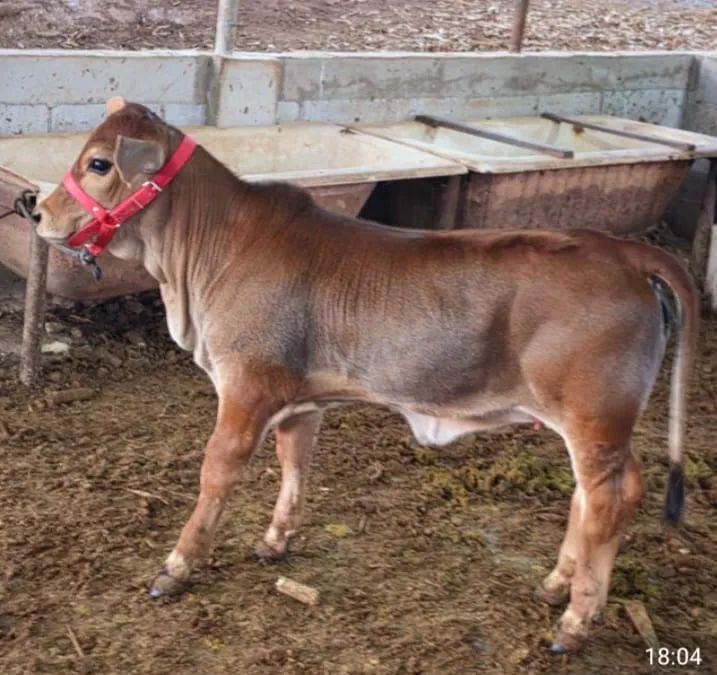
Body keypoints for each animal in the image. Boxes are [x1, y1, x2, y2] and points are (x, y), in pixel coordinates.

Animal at [33, 97, 698, 653]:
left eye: (98, 163)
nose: (34, 209)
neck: (199, 262)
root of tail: (621, 251)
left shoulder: (245, 386)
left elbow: (216, 474)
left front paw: (176, 566)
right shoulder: (300, 400)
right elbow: (295, 463)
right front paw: (275, 541)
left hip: (594, 417)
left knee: (609, 500)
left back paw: (574, 621)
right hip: (586, 423)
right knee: (596, 497)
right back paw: (556, 584)